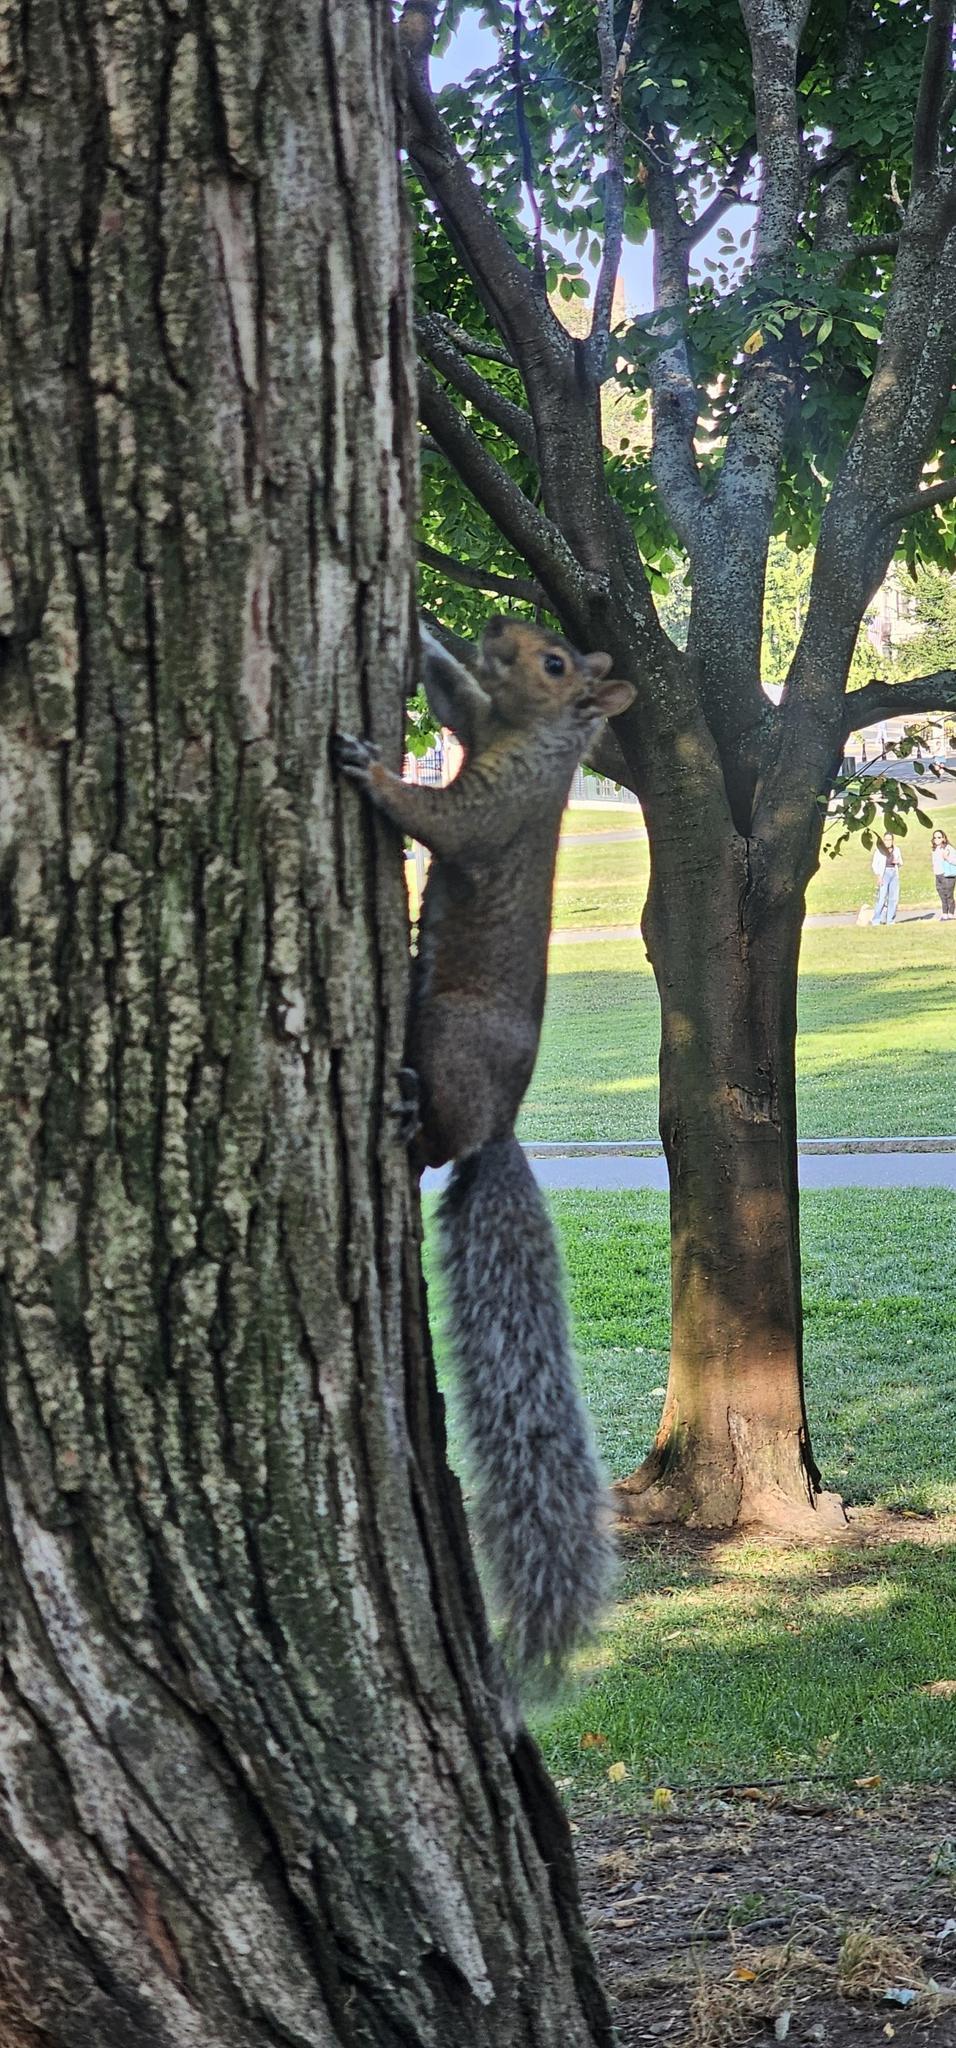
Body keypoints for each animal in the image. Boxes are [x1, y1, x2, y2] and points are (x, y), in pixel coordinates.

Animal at [335, 615, 634, 1684]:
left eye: (556, 664)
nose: (500, 627)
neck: (528, 736)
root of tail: (501, 1127)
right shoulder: (474, 723)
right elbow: (454, 695)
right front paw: (429, 634)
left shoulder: (497, 808)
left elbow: (444, 825)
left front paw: (370, 771)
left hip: (448, 1038)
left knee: (435, 1143)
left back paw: (405, 1109)